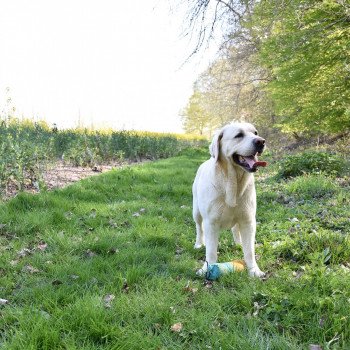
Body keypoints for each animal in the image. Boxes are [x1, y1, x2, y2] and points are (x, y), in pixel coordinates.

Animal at [193, 121, 266, 278]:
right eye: (239, 135)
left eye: (255, 133)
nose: (261, 141)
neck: (233, 183)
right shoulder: (211, 222)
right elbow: (211, 251)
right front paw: (207, 268)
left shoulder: (248, 220)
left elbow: (249, 251)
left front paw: (254, 270)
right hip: (196, 211)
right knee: (199, 228)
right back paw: (198, 244)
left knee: (235, 229)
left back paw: (239, 243)